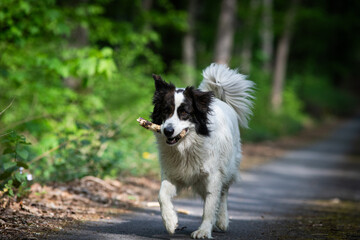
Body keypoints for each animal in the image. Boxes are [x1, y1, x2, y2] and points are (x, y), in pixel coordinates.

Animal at [150, 63, 255, 238]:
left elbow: (210, 205)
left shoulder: (213, 176)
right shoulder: (173, 173)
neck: (186, 146)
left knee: (223, 193)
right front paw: (170, 221)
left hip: (228, 167)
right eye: (166, 111)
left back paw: (222, 220)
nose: (167, 131)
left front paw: (204, 230)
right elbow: (161, 195)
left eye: (184, 113)